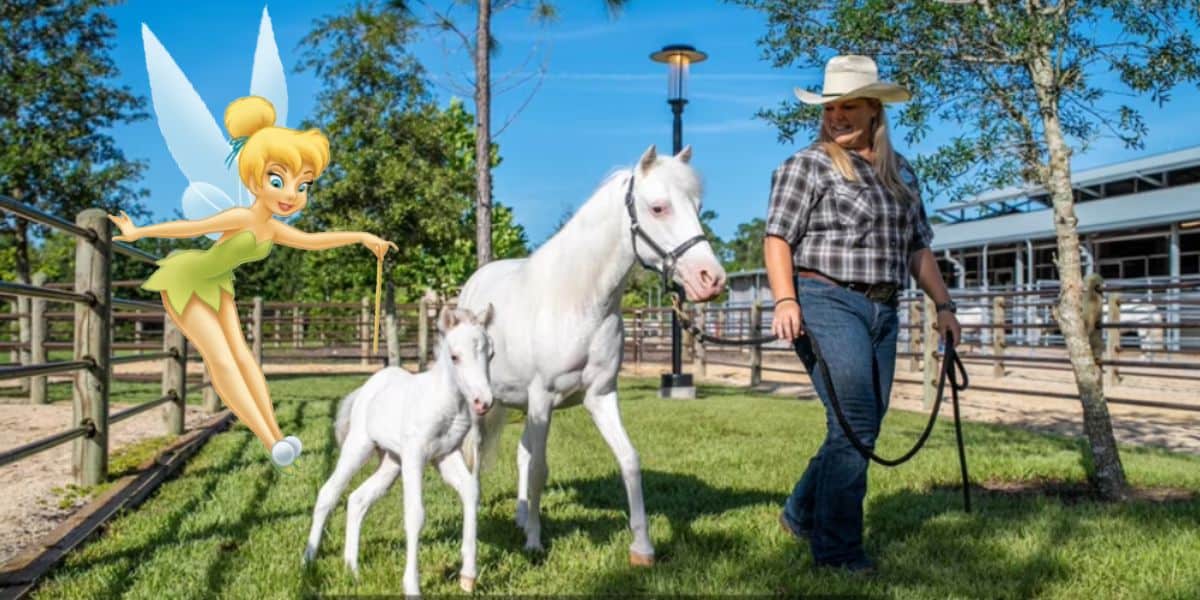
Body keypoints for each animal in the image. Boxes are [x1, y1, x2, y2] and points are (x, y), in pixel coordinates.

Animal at [303, 305, 494, 596]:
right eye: (455, 356)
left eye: (490, 354)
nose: (483, 402)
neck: (446, 405)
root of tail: (368, 386)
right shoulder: (415, 456)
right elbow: (415, 514)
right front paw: (412, 586)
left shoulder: (446, 455)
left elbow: (471, 492)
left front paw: (468, 577)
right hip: (359, 446)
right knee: (329, 492)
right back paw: (308, 560)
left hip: (391, 462)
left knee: (357, 499)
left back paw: (352, 568)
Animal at [457, 144, 726, 566]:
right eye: (658, 208)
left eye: (698, 207)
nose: (711, 279)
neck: (577, 302)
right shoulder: (542, 400)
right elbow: (540, 470)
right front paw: (534, 544)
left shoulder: (600, 396)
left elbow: (629, 460)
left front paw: (642, 548)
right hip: (486, 406)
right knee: (479, 454)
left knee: (521, 453)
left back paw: (520, 516)